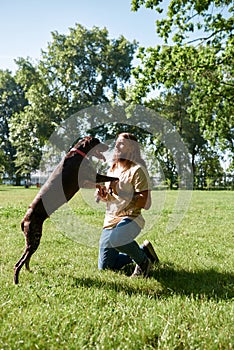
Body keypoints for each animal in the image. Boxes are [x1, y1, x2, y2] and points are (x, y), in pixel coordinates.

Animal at [13, 137, 118, 284]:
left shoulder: (90, 178)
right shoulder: (88, 178)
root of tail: (24, 220)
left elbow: (107, 181)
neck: (79, 153)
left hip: (32, 241)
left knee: (26, 259)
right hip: (34, 239)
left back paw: (29, 270)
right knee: (18, 263)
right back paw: (16, 281)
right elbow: (107, 180)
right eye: (97, 141)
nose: (108, 146)